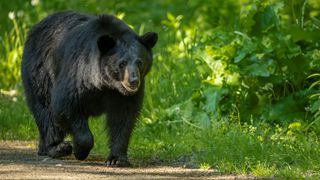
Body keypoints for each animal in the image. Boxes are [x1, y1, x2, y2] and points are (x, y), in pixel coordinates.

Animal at [20, 10, 158, 166]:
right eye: (122, 63)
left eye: (140, 62)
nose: (133, 81)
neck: (105, 83)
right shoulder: (78, 74)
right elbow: (65, 105)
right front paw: (79, 150)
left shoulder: (122, 95)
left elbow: (123, 117)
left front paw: (117, 159)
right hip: (39, 72)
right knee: (45, 111)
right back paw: (57, 147)